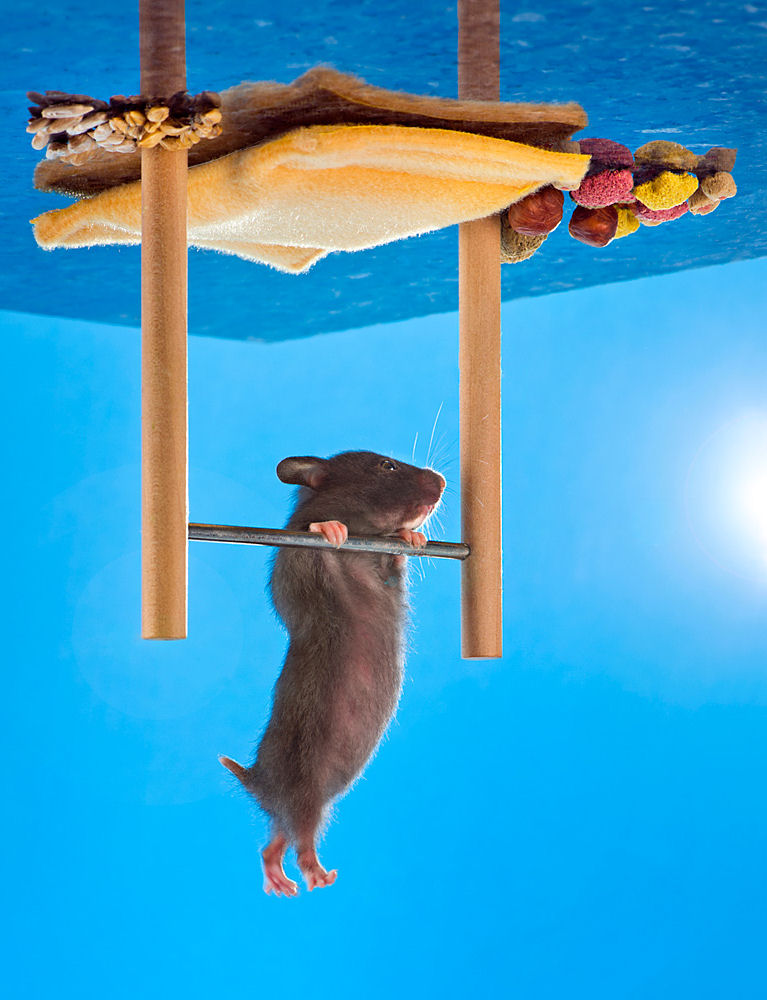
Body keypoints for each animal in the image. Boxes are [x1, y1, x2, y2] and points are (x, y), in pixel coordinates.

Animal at [220, 450, 445, 896]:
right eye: (387, 466)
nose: (443, 481)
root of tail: (257, 781)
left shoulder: (386, 572)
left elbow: (395, 564)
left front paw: (411, 538)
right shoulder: (291, 560)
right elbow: (308, 550)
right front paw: (331, 529)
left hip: (305, 801)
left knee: (275, 840)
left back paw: (279, 880)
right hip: (305, 787)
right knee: (300, 838)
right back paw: (316, 874)